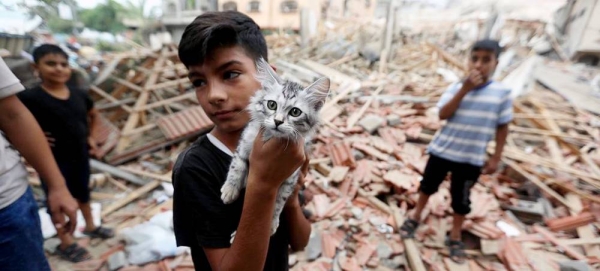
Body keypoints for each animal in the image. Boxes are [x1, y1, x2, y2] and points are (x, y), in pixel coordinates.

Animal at [220, 58, 330, 240]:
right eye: (272, 105)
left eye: (295, 112)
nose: (278, 121)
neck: (271, 138)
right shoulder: (244, 144)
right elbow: (237, 166)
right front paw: (230, 189)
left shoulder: (290, 177)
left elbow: (278, 202)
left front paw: (271, 223)